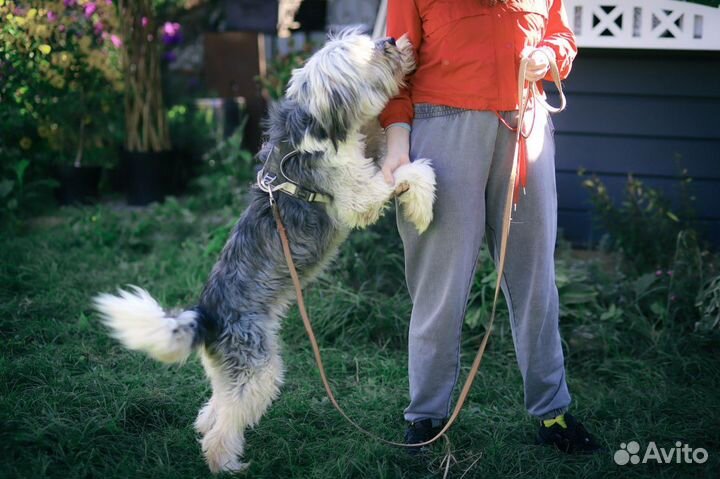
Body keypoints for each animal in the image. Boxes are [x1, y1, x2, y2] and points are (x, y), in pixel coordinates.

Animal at [93, 30, 436, 472]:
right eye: (367, 55)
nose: (391, 39)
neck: (314, 129)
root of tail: (205, 315)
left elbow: (383, 146)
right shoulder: (357, 198)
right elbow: (410, 171)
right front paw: (424, 206)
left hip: (233, 371)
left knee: (215, 407)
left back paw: (208, 430)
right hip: (259, 369)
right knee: (224, 425)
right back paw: (225, 464)